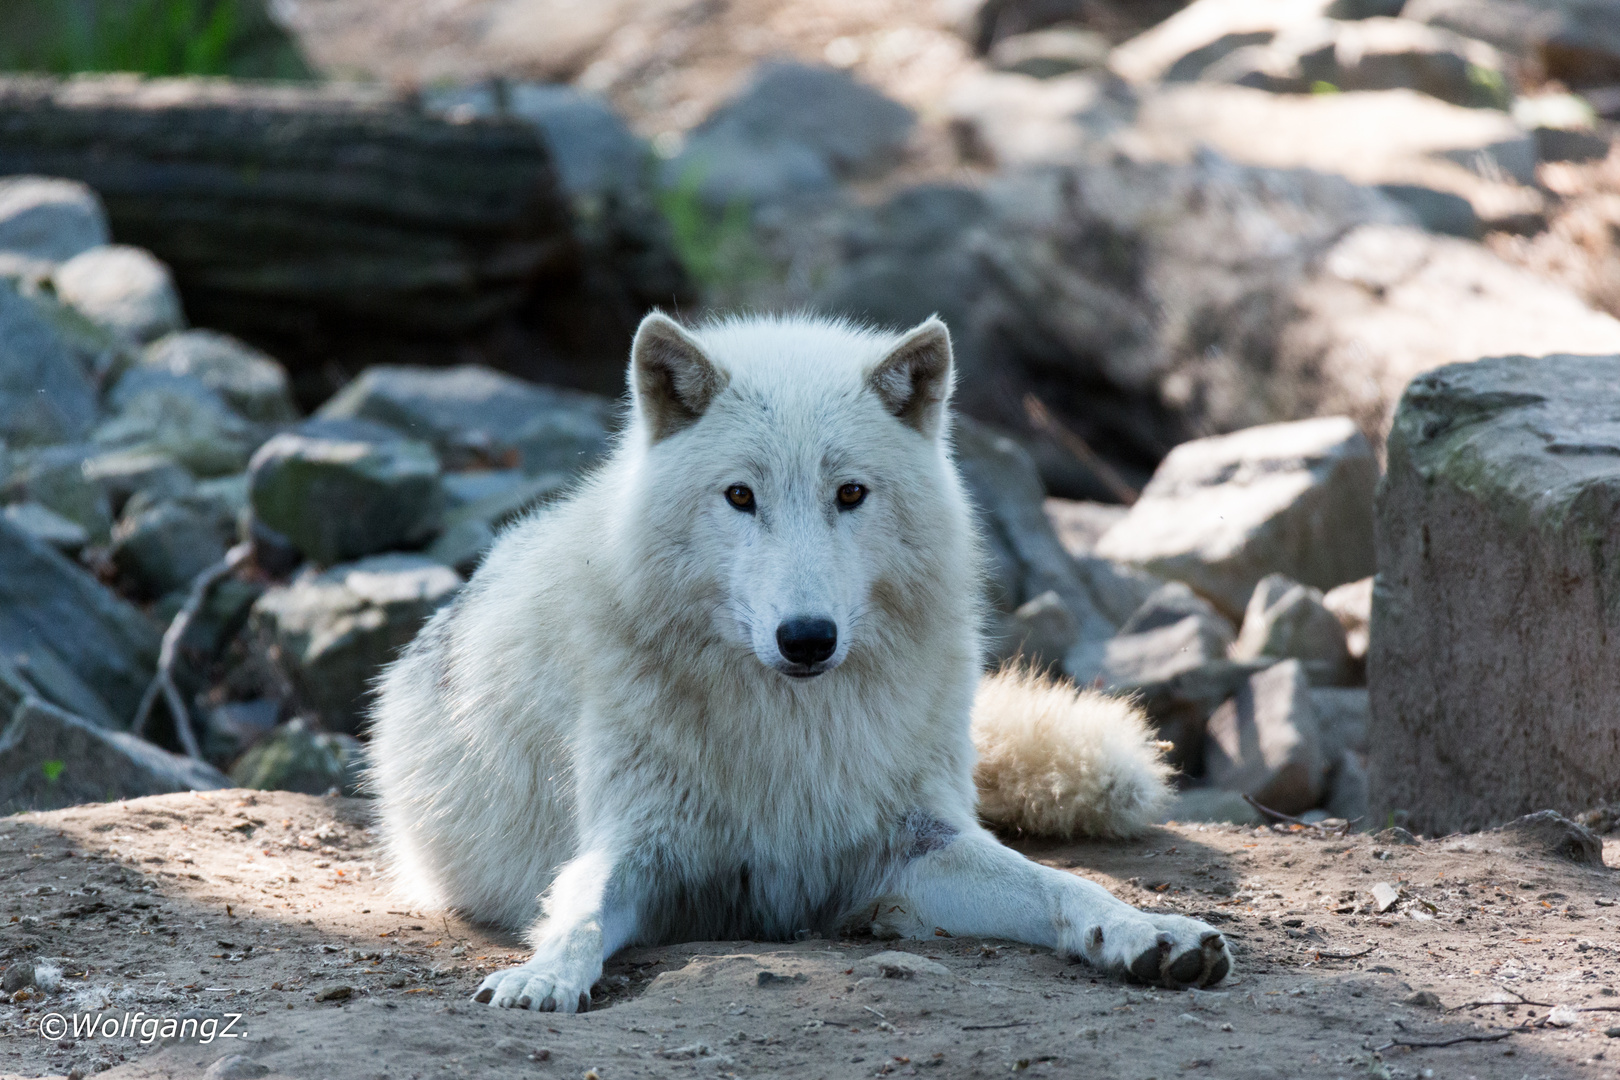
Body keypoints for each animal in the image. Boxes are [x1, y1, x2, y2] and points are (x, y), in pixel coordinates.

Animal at [367, 312, 1224, 1016]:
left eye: (850, 493)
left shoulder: (911, 849)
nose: (806, 638)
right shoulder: (636, 849)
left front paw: (1146, 932)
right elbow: (577, 909)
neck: (793, 732)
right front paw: (544, 976)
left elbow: (1064, 883)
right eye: (740, 496)